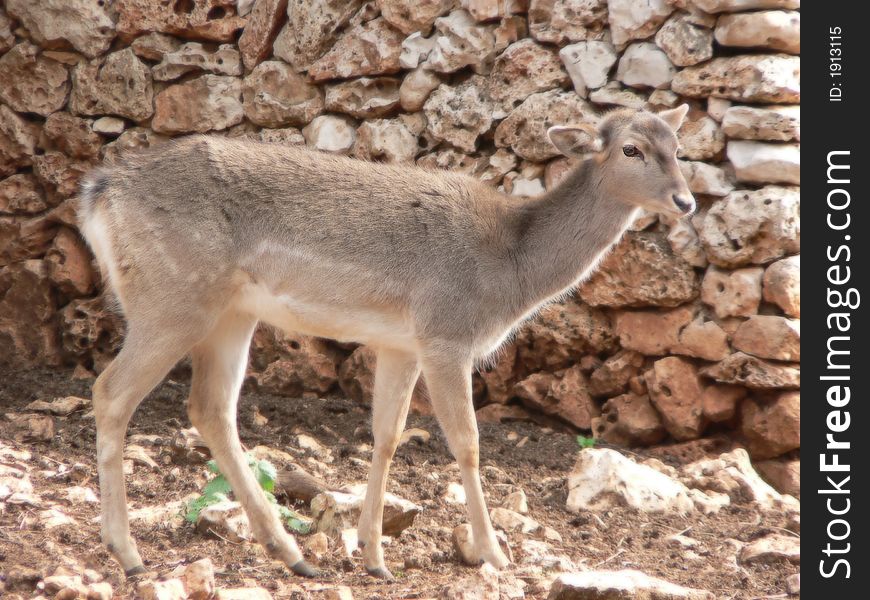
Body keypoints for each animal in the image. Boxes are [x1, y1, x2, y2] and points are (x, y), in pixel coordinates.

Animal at [78, 104, 700, 580]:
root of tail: (99, 194)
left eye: (678, 146)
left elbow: (388, 435)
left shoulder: (402, 343)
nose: (687, 202)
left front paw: (375, 557)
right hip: (171, 298)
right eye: (631, 149)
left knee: (209, 408)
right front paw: (494, 554)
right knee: (111, 391)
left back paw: (291, 553)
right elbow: (468, 443)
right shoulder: (446, 332)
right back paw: (128, 553)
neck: (508, 270)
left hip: (231, 313)